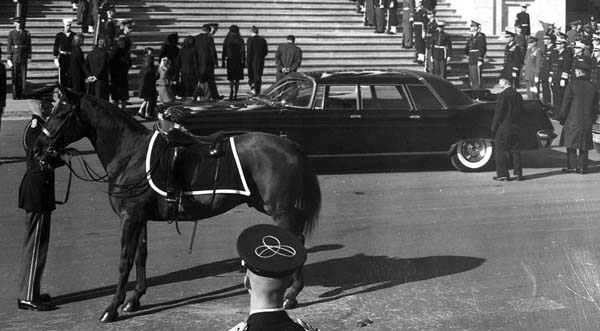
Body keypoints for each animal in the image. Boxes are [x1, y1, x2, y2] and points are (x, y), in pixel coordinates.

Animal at [34, 88, 322, 324]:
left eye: (61, 113)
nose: (38, 147)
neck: (132, 156)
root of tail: (291, 145)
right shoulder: (140, 218)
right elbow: (140, 256)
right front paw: (135, 299)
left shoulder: (130, 217)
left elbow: (124, 261)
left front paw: (112, 307)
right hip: (269, 206)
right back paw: (292, 290)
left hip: (279, 210)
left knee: (294, 242)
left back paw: (291, 293)